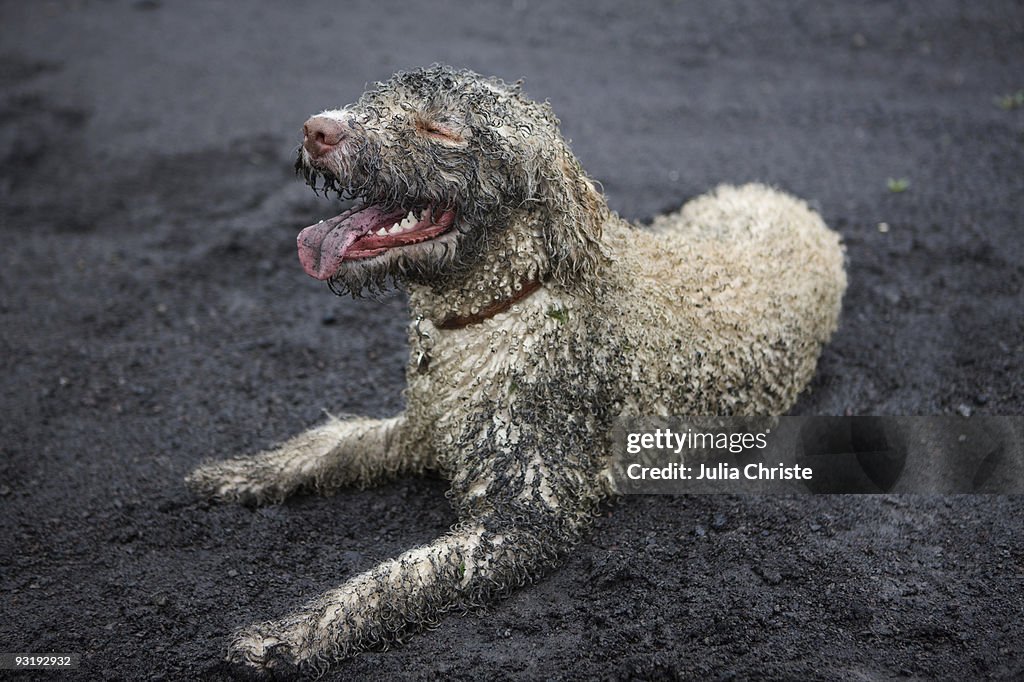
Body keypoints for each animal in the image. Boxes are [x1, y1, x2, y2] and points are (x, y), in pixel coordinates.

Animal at [188, 65, 843, 667]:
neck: (498, 308)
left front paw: (294, 635)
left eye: (440, 128)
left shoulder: (527, 518)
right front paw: (242, 473)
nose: (318, 129)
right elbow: (329, 447)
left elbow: (395, 580)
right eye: (375, 99)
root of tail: (782, 197)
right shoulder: (422, 428)